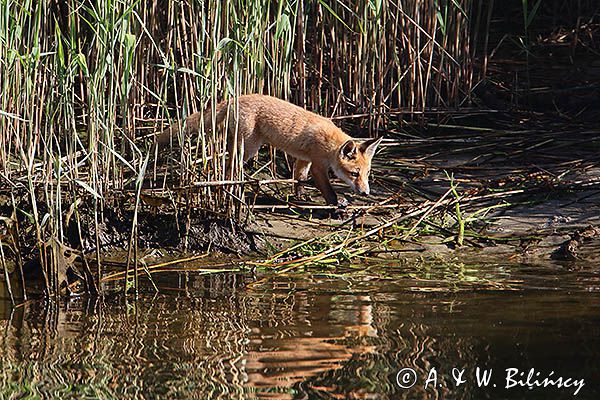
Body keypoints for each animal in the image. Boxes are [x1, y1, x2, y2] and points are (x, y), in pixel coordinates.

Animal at [157, 94, 382, 206]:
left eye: (367, 174)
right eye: (354, 174)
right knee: (230, 166)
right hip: (248, 147)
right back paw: (231, 188)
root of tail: (234, 98)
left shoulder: (304, 159)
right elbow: (328, 190)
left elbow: (299, 178)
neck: (330, 143)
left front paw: (300, 196)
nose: (366, 193)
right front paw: (336, 205)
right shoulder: (318, 165)